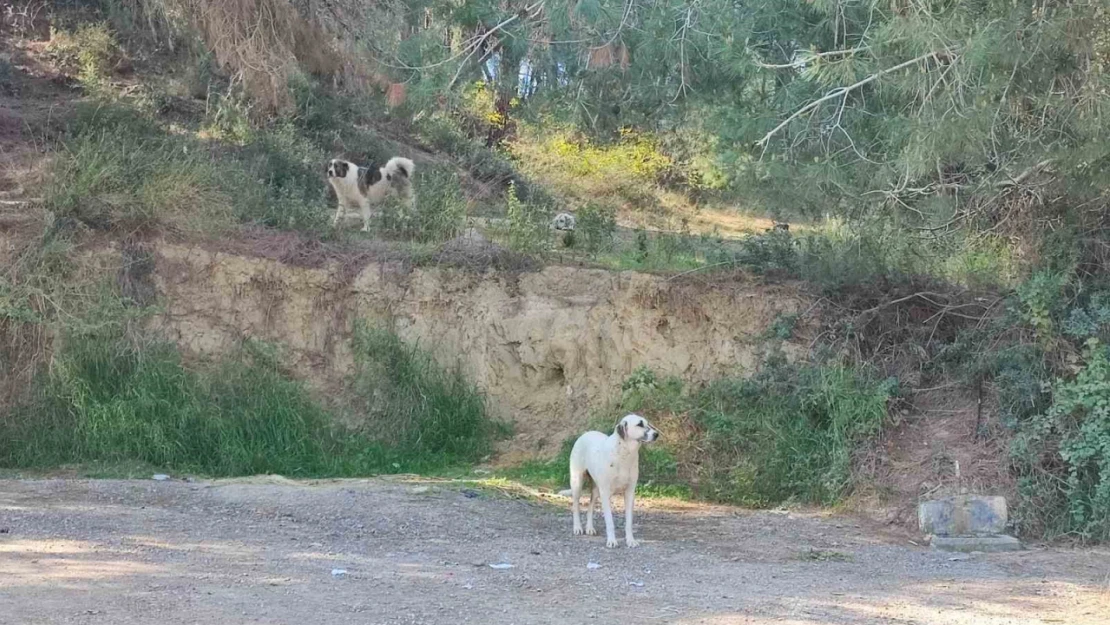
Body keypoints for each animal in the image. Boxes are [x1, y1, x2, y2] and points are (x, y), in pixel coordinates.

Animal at [568, 415, 652, 548]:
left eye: (647, 423)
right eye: (639, 424)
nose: (656, 434)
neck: (624, 454)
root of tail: (585, 434)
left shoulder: (630, 493)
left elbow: (629, 522)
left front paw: (630, 540)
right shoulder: (606, 493)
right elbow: (609, 521)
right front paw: (612, 541)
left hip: (596, 491)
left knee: (590, 507)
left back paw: (590, 528)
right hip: (577, 483)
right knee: (576, 506)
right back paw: (577, 527)